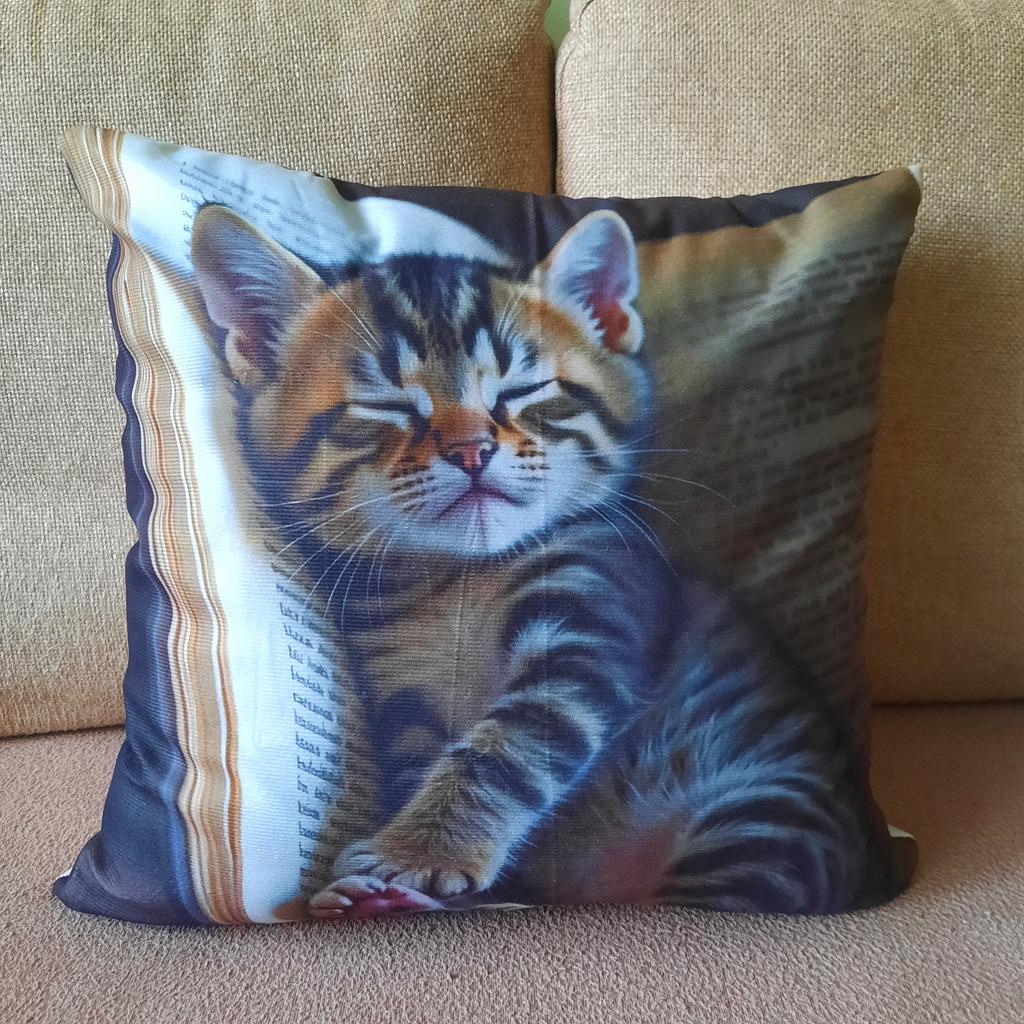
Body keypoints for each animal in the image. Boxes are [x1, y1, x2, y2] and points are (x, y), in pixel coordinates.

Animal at [191, 201, 910, 918]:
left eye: (524, 391)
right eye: (385, 406)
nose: (472, 450)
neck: (458, 580)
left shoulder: (591, 612)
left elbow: (504, 749)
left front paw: (417, 852)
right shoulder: (398, 686)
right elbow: (427, 761)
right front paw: (405, 881)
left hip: (765, 812)